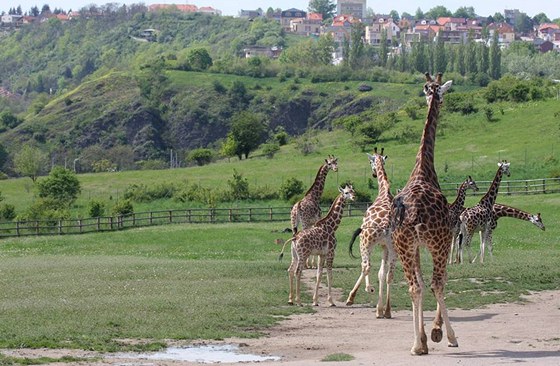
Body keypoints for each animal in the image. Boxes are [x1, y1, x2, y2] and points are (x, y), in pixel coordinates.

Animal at [344, 147, 396, 318]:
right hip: (394, 248)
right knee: (390, 274)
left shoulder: (371, 243)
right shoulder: (385, 246)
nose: (373, 174)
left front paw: (354, 297)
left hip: (365, 242)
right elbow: (382, 273)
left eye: (370, 161)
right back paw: (387, 310)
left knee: (365, 265)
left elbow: (367, 267)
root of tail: (386, 225)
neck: (384, 191)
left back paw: (362, 292)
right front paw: (380, 309)